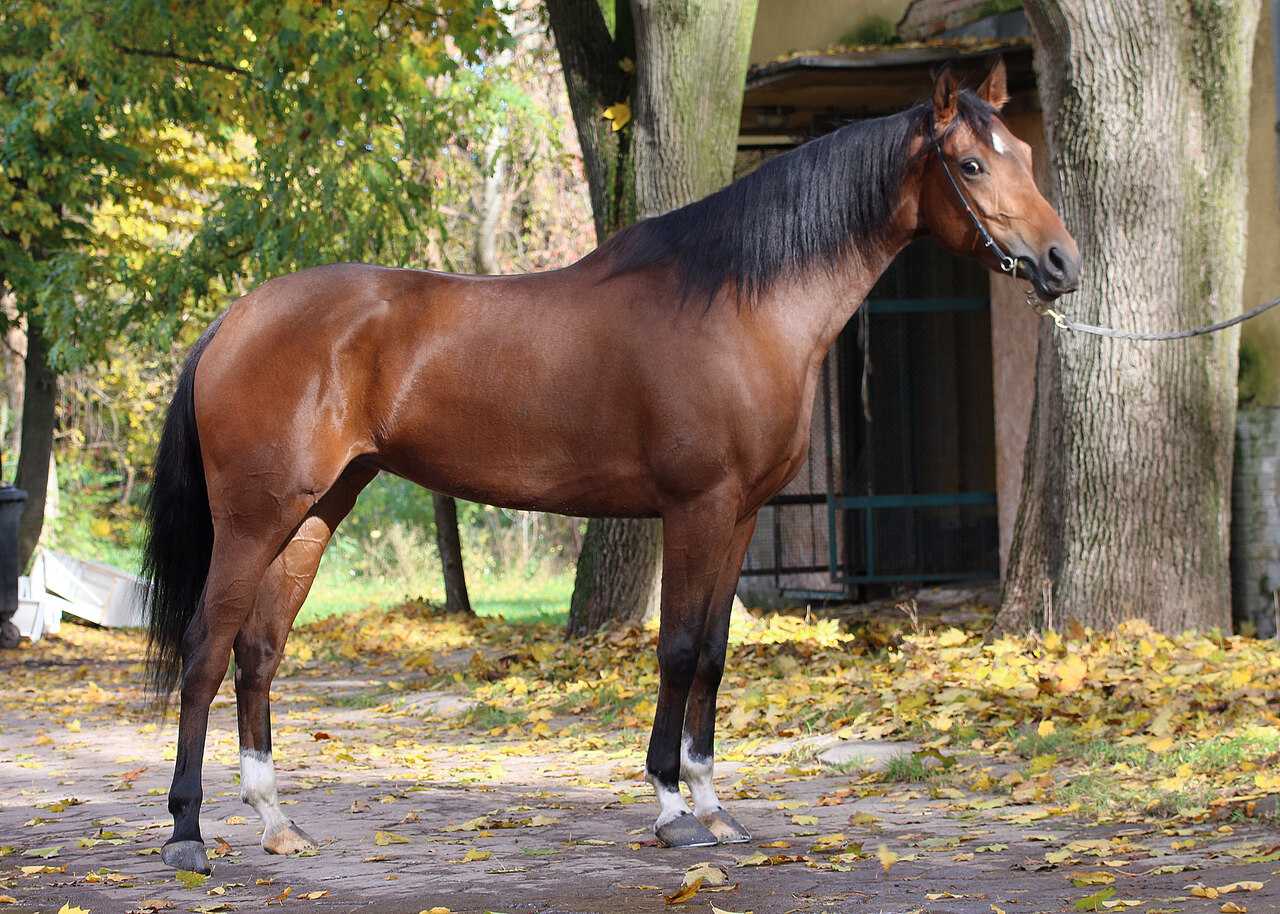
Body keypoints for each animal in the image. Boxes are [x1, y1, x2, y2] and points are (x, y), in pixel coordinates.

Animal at [141, 59, 1080, 874]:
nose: (1062, 264)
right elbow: (677, 650)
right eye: (970, 163)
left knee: (259, 652)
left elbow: (715, 654)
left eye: (1027, 157)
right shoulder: (697, 508)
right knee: (205, 651)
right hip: (254, 520)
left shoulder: (741, 516)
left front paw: (713, 805)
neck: (740, 307)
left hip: (315, 512)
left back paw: (277, 823)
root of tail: (234, 320)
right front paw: (671, 810)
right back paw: (187, 834)